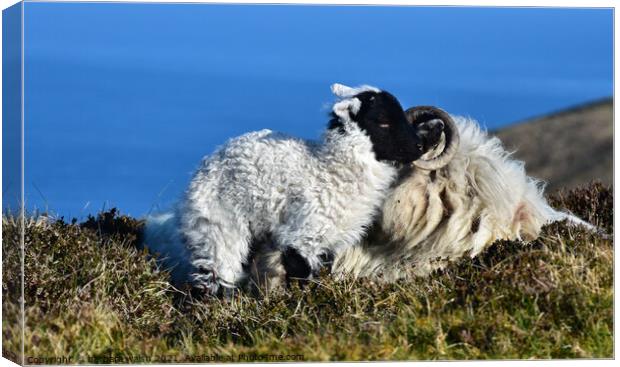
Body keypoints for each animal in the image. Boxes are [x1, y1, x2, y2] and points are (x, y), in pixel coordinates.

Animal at [142, 84, 448, 296]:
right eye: (383, 121)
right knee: (215, 279)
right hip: (218, 230)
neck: (331, 169)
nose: (418, 146)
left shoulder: (330, 243)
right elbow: (300, 278)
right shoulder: (303, 235)